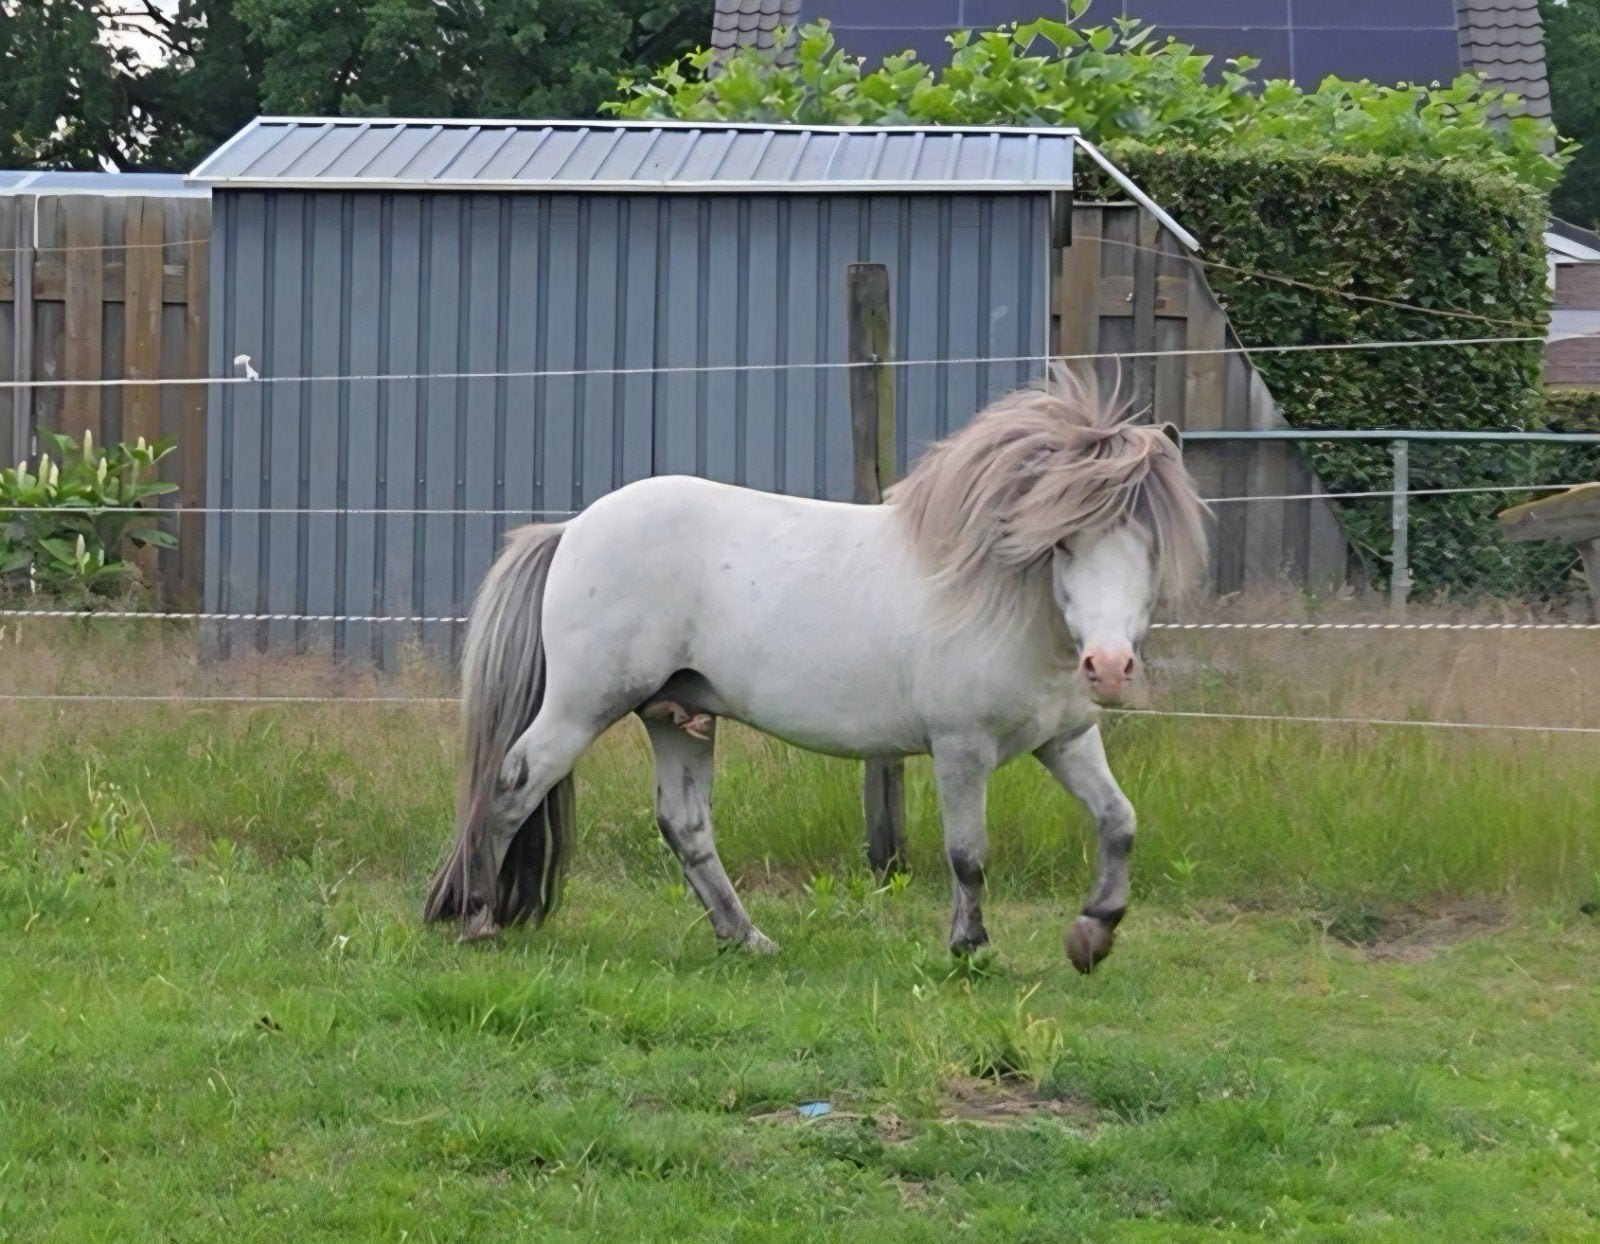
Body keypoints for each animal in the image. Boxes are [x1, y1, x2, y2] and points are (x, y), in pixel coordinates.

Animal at [423, 369, 1210, 973]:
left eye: (1151, 545)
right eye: (1065, 541)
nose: (1109, 667)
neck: (1005, 601)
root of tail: (571, 529)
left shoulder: (1066, 740)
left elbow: (1119, 823)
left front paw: (1093, 934)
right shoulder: (962, 749)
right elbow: (968, 853)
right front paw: (971, 948)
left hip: (677, 716)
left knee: (686, 825)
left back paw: (746, 938)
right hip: (583, 705)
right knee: (513, 784)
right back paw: (479, 918)